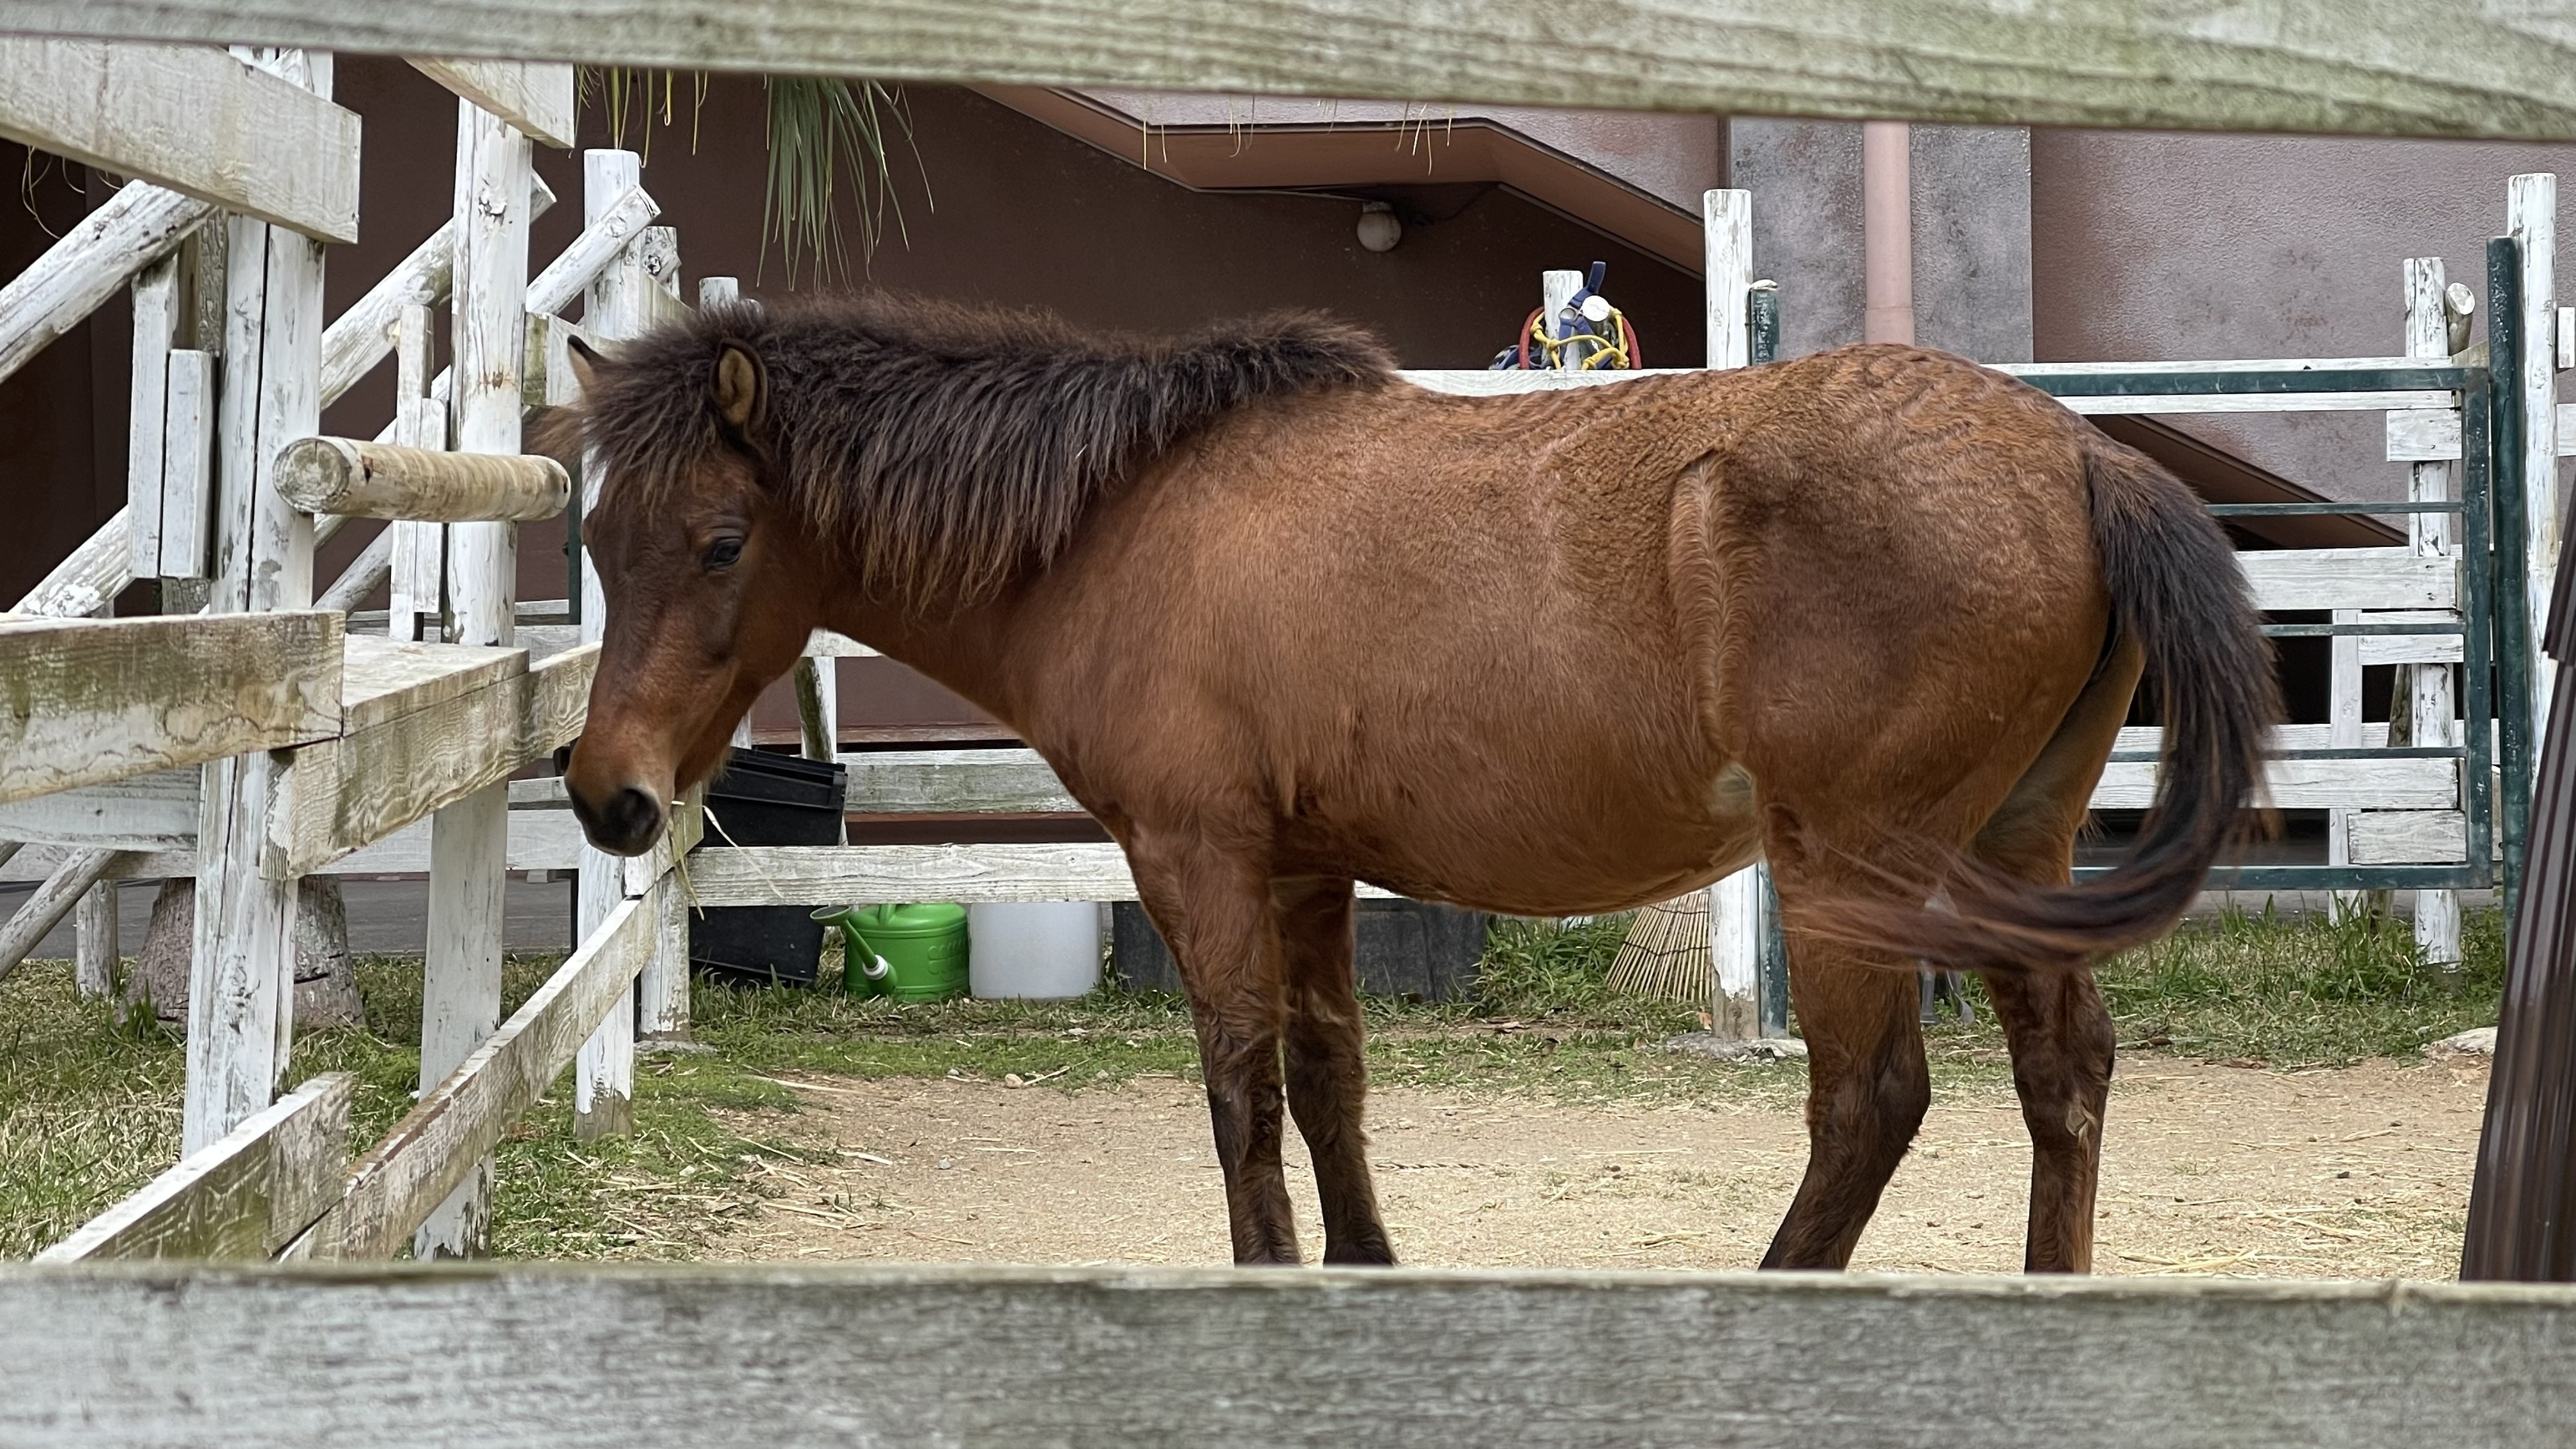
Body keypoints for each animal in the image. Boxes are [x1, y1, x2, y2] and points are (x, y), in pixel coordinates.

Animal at [550, 294, 2276, 1272]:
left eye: (719, 541)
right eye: (595, 539)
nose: (606, 795)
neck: (1123, 519)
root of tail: (2078, 455)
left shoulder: (1199, 861)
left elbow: (1241, 1089)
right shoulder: (1308, 869)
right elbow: (1330, 1083)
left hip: (1849, 866)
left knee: (1869, 1105)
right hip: (2018, 849)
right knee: (2064, 1077)